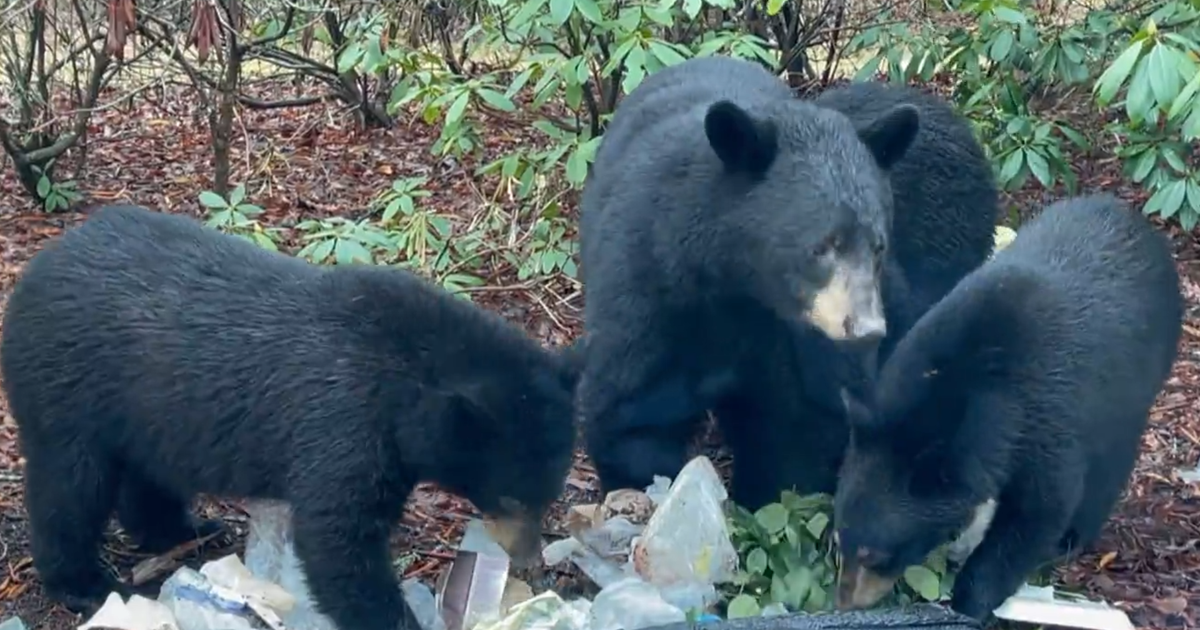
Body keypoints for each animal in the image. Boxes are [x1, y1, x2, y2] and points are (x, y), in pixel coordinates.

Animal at [0, 204, 578, 630]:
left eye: (549, 496)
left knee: (146, 475)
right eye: (510, 497)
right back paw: (83, 582)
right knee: (71, 485)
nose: (530, 559)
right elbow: (337, 536)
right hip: (68, 390)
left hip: (144, 408)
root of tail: (36, 268)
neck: (406, 383)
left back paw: (186, 527)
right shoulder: (344, 422)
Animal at [575, 54, 922, 501]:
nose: (865, 328)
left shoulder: (795, 340)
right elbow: (633, 405)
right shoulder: (651, 284)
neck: (739, 285)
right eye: (822, 246)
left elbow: (795, 431)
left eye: (877, 245)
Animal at [831, 194, 1183, 621]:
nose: (843, 603)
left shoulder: (1047, 419)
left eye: (874, 554)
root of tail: (1139, 223)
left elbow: (1038, 512)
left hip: (1138, 382)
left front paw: (968, 600)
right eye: (838, 538)